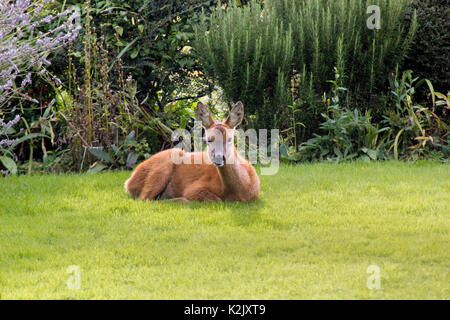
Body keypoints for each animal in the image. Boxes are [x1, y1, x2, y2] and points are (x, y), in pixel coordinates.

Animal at [125, 101, 262, 201]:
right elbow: (216, 200)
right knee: (145, 198)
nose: (219, 158)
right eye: (208, 139)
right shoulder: (194, 188)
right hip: (163, 166)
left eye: (230, 139)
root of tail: (128, 182)